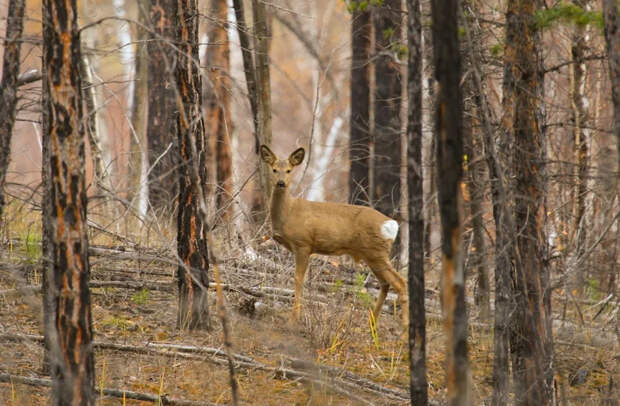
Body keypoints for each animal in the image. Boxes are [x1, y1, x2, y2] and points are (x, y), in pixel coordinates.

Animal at [260, 144, 410, 328]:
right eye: (274, 169)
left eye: (289, 170)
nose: (281, 183)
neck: (289, 211)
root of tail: (391, 224)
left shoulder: (303, 243)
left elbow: (298, 279)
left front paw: (294, 319)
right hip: (373, 255)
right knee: (386, 283)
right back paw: (371, 325)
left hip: (377, 252)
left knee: (400, 283)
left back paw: (404, 331)